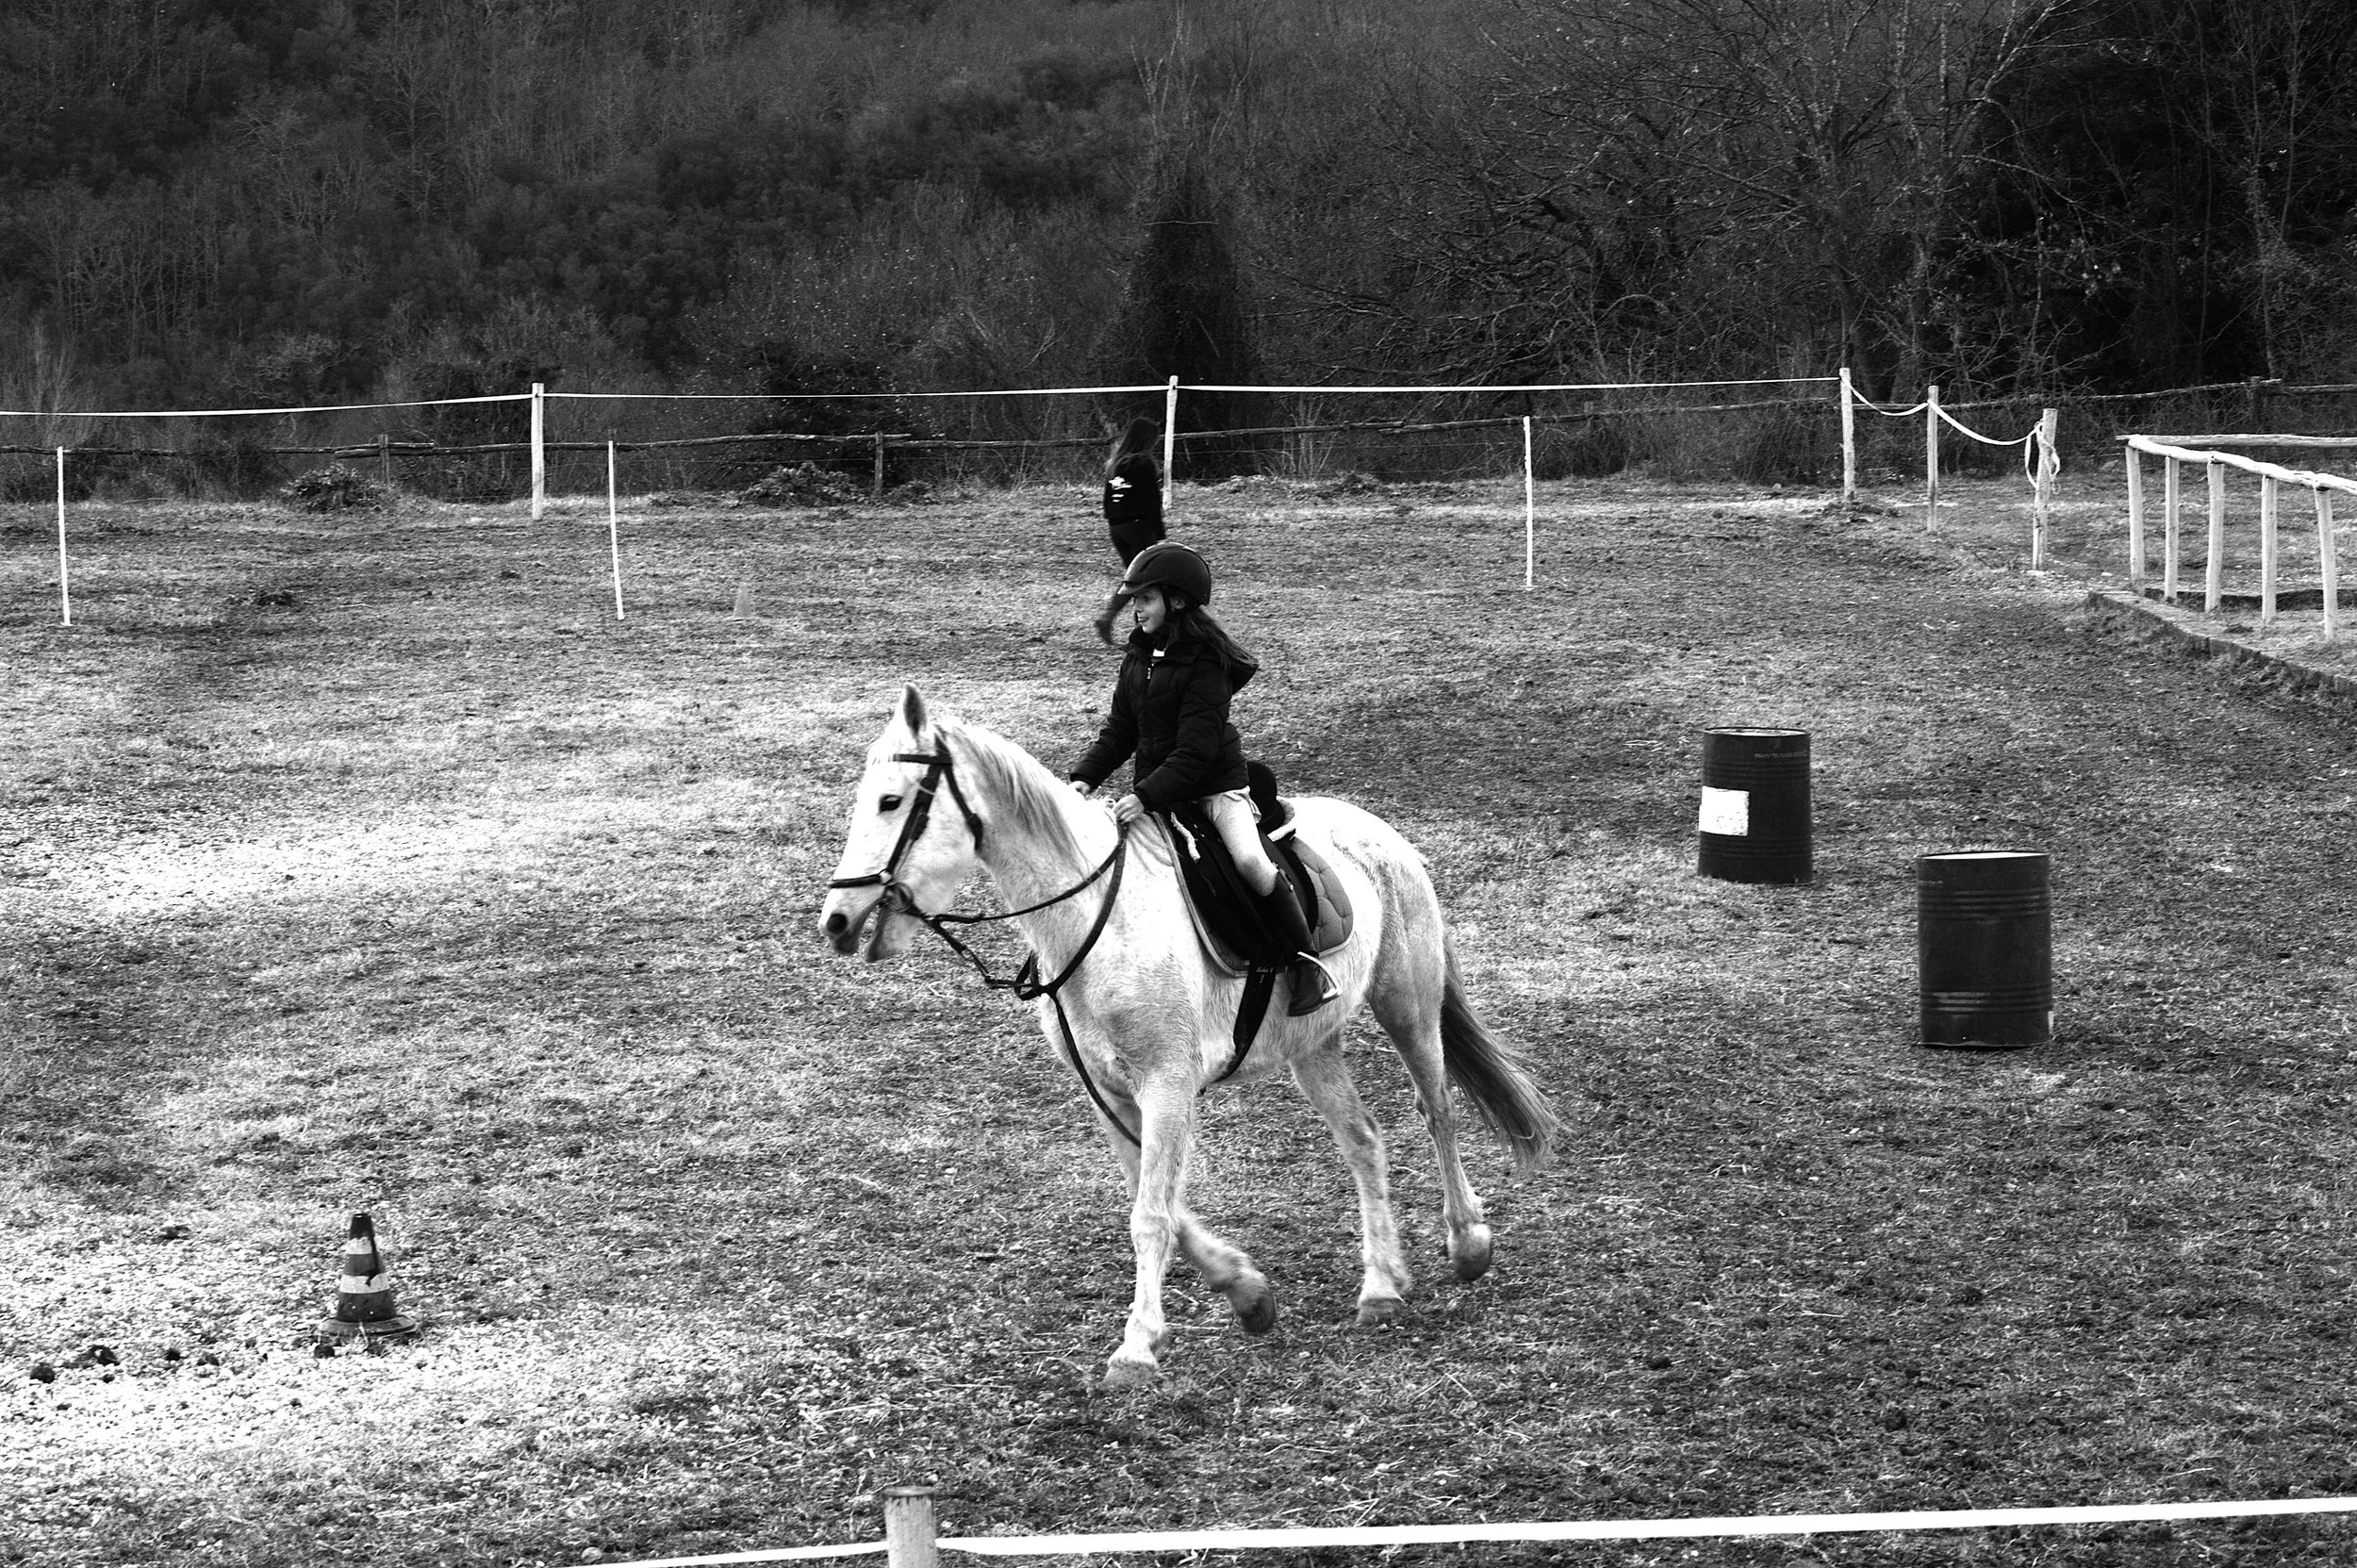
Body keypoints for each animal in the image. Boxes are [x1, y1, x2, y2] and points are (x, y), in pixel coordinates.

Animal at [818, 685, 1559, 1388]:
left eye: (891, 800)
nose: (836, 920)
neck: (1099, 917)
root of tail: (1382, 833)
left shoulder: (1168, 1083)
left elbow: (1151, 1213)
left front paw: (1136, 1349)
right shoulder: (1108, 1091)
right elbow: (1162, 1203)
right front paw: (1247, 1292)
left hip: (1408, 1005)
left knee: (1437, 1108)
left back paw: (1468, 1243)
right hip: (1312, 1048)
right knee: (1364, 1139)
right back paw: (1379, 1286)